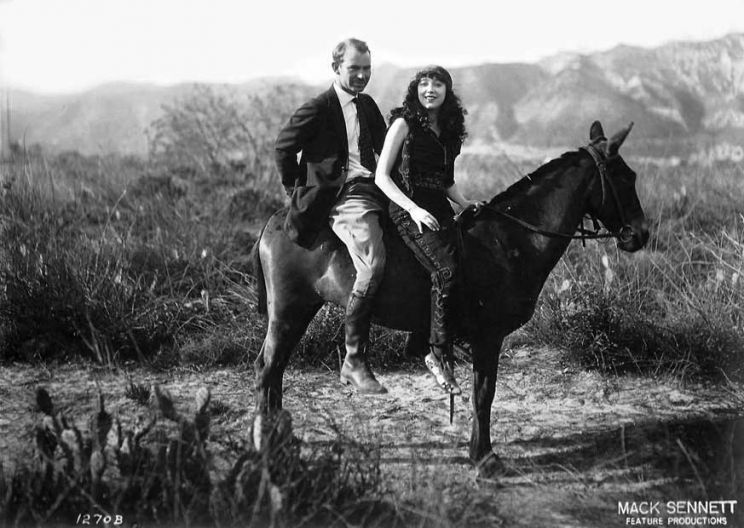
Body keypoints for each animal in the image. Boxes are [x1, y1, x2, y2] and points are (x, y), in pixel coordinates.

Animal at [248, 120, 644, 474]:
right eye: (626, 178)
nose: (639, 234)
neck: (510, 240)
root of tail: (276, 222)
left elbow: (481, 394)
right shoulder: (488, 337)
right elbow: (484, 395)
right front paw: (483, 458)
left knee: (274, 371)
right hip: (289, 310)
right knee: (269, 369)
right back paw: (268, 445)